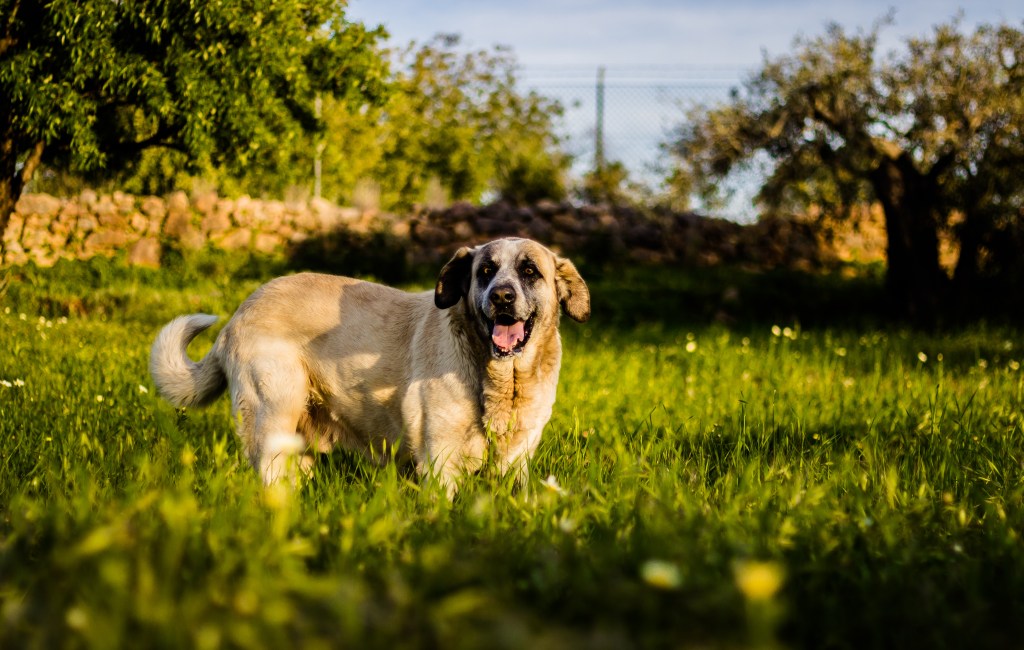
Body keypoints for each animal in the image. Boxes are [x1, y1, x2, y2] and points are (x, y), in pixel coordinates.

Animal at [148, 236, 589, 495]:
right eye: (485, 272)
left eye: (529, 272)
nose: (500, 296)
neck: (500, 380)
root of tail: (239, 315)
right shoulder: (440, 460)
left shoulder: (517, 459)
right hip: (272, 412)